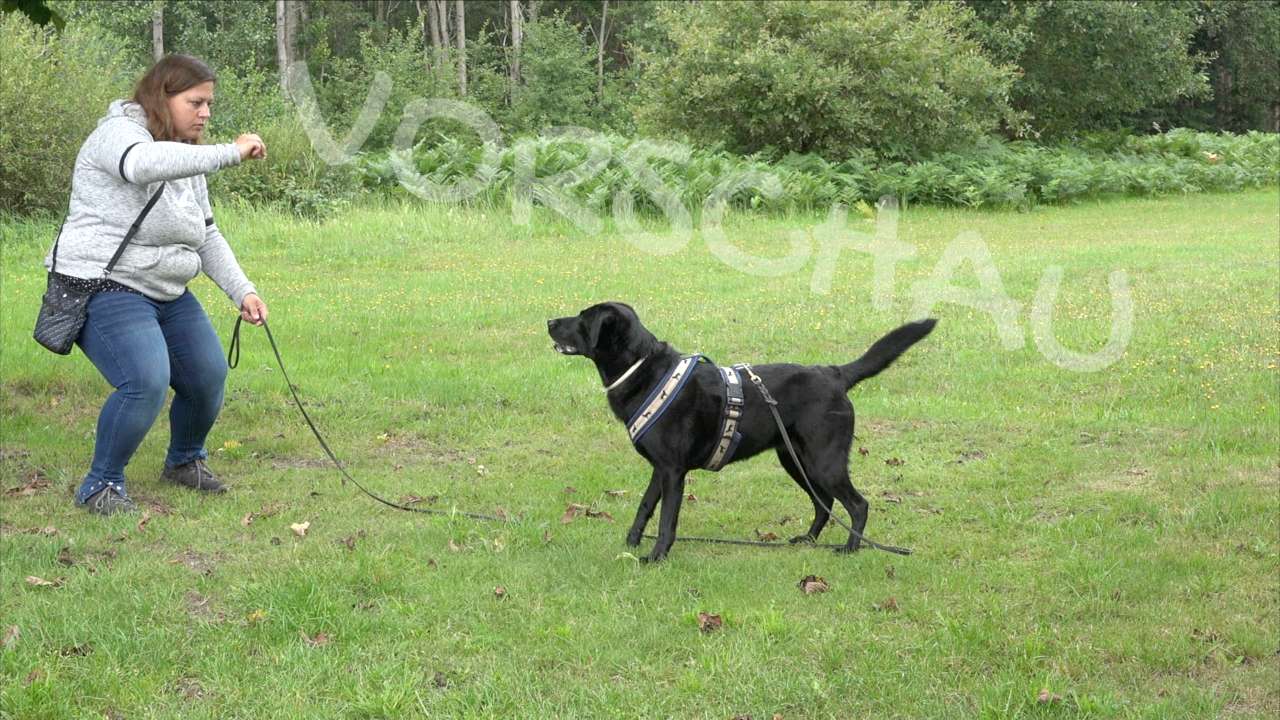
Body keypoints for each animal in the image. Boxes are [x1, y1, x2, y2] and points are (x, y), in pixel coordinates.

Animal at [545, 299, 936, 558]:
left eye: (582, 318)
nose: (549, 320)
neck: (643, 369)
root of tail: (835, 374)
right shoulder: (660, 470)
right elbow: (644, 507)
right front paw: (629, 544)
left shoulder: (673, 471)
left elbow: (667, 519)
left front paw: (656, 556)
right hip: (795, 460)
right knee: (823, 502)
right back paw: (808, 540)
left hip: (824, 461)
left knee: (857, 504)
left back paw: (850, 548)